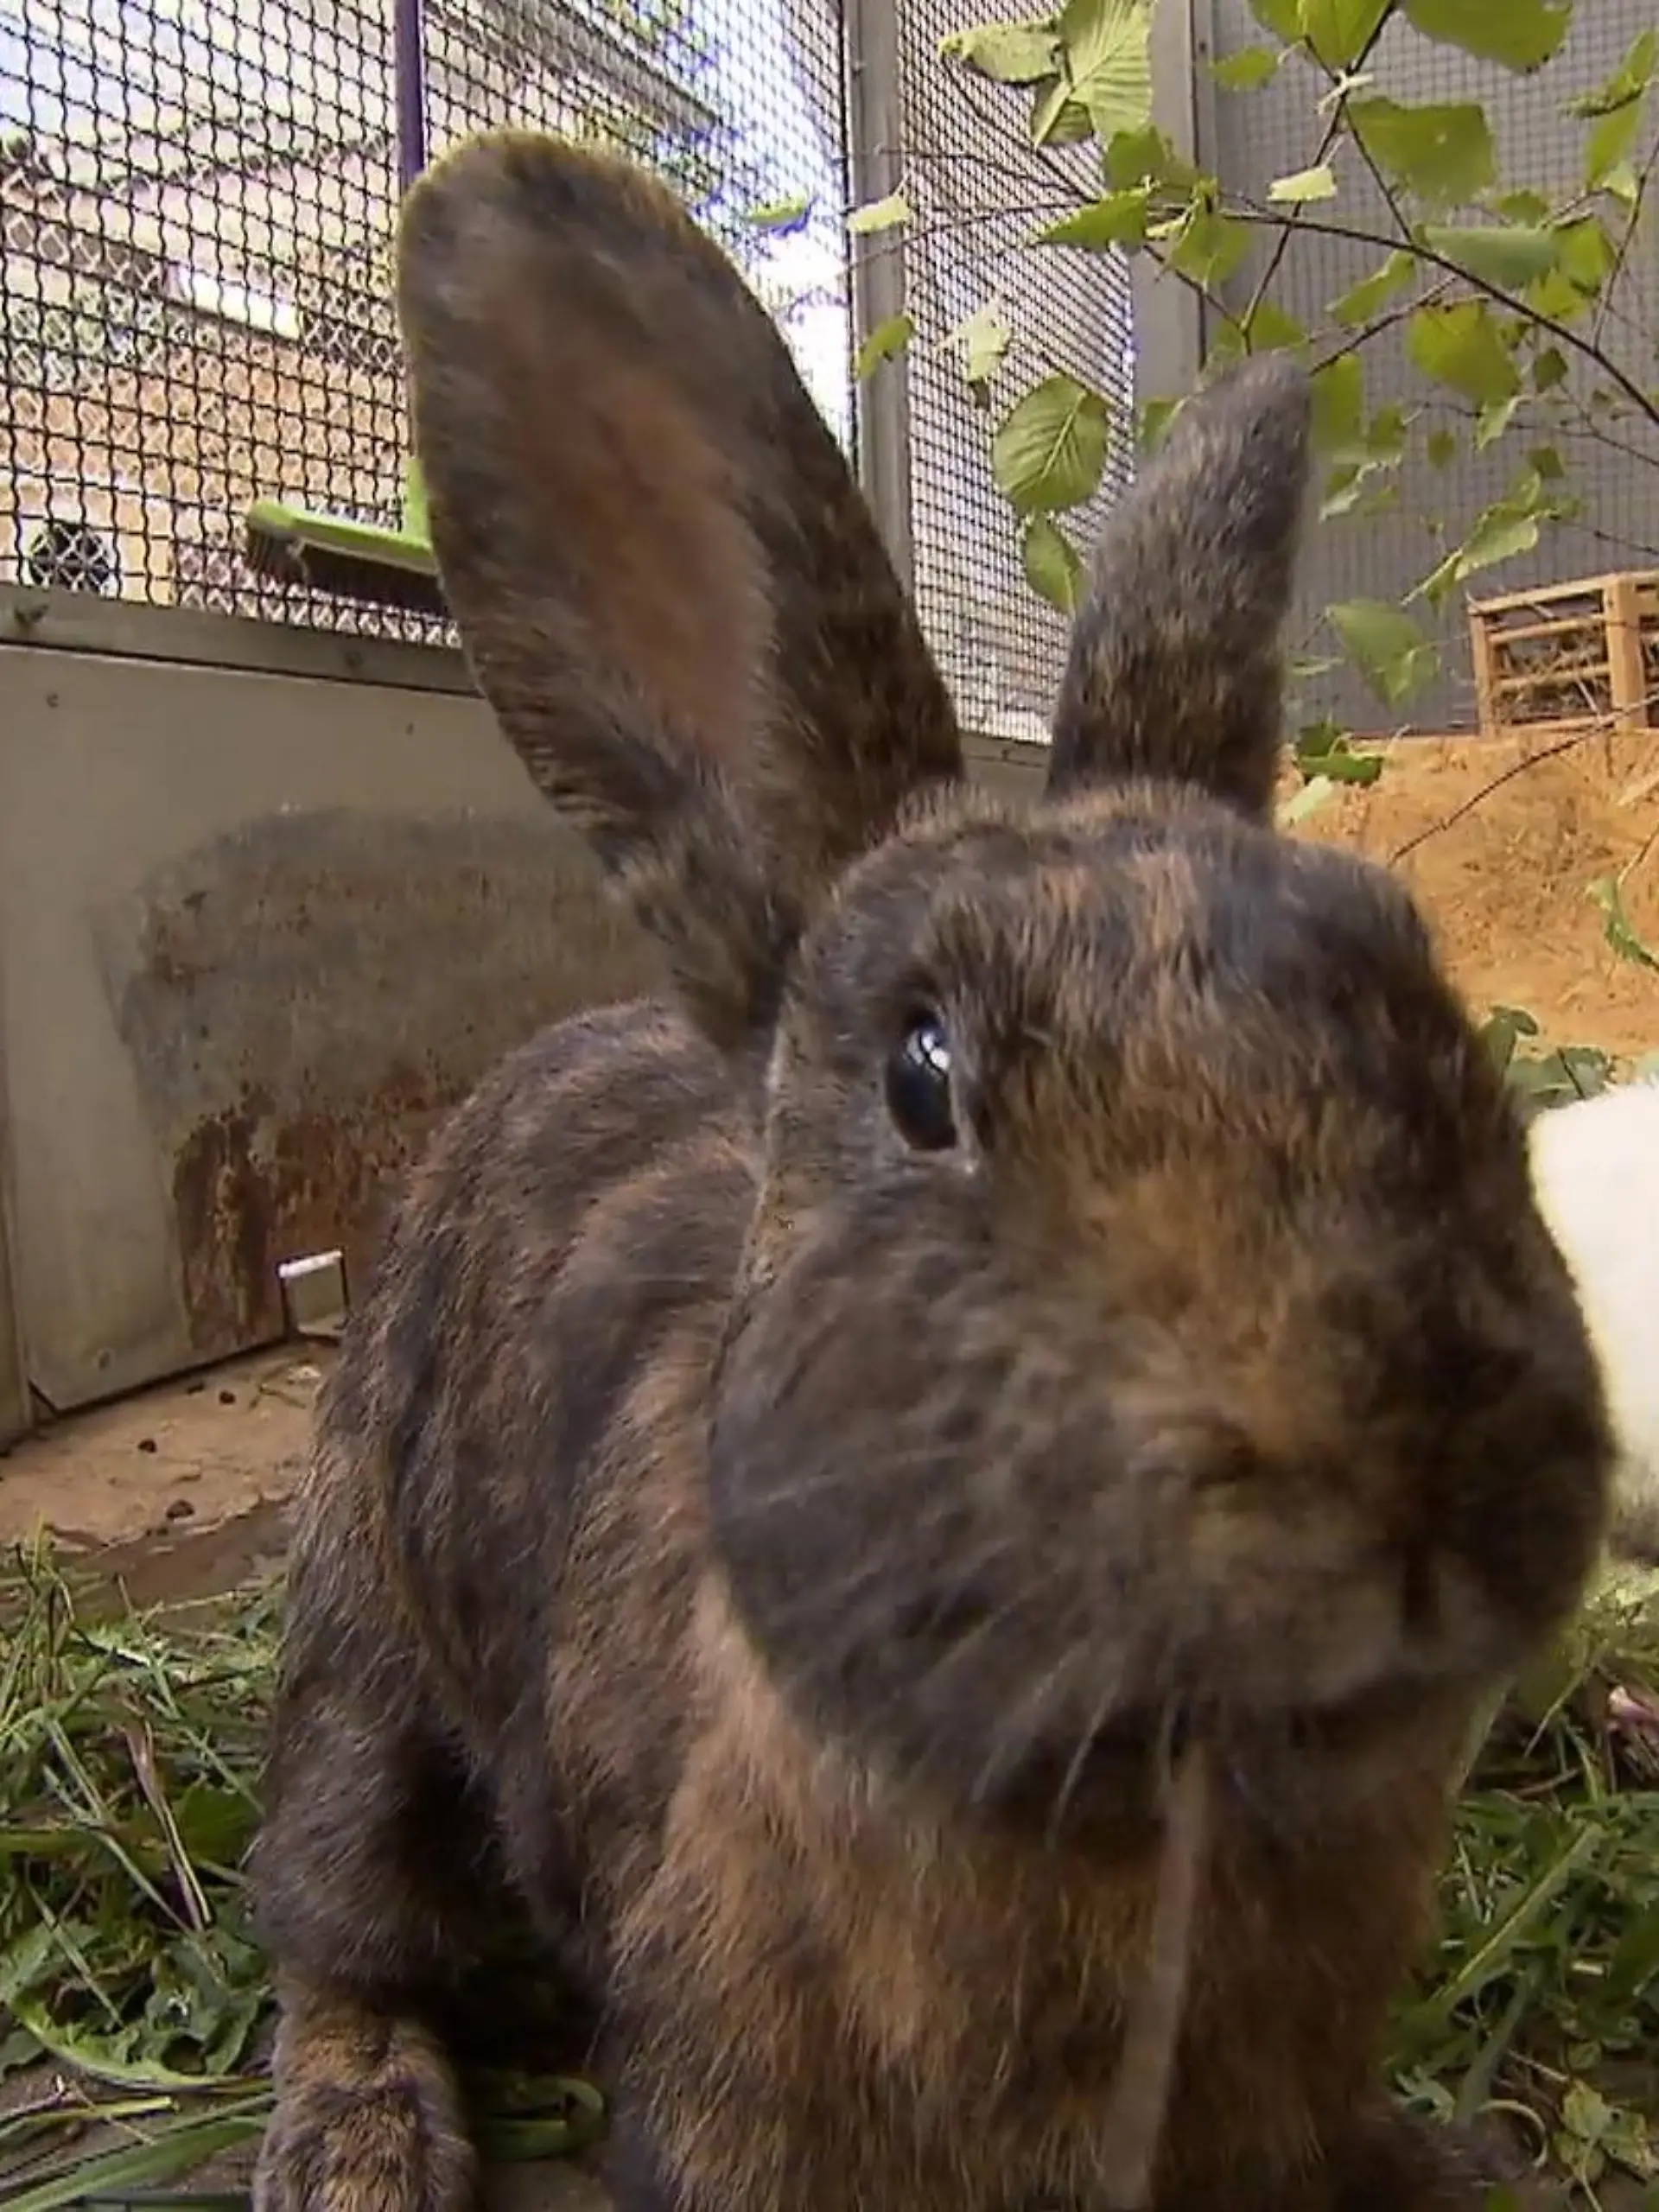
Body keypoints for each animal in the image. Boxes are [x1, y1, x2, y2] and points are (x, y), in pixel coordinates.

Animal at [248, 130, 1612, 2212]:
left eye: (1411, 972)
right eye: (921, 1076)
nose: (1429, 1467)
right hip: (372, 1694)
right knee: (325, 1924)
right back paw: (361, 2142)